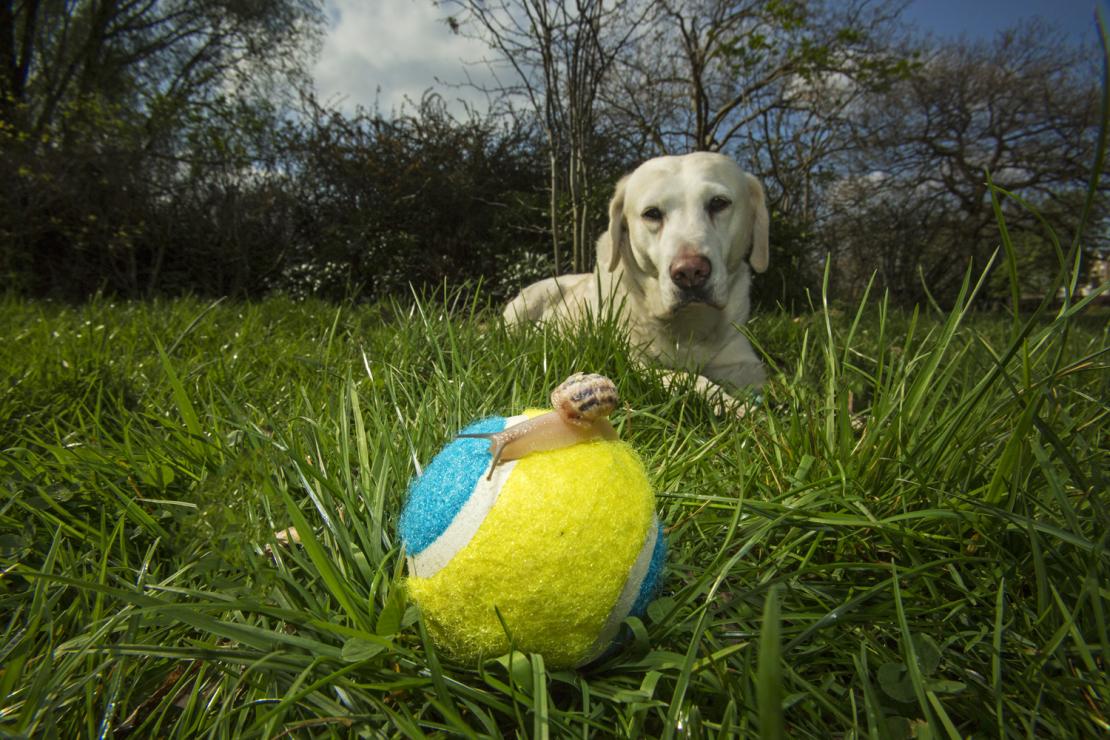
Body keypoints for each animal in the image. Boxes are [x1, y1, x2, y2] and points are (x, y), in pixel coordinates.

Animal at [506, 153, 772, 408]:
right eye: (652, 213)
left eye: (718, 203)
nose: (690, 272)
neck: (689, 326)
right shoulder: (635, 363)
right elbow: (687, 378)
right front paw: (732, 405)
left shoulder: (744, 362)